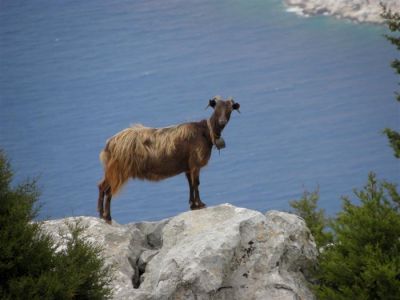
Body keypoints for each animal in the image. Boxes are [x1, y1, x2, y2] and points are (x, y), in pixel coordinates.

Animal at [97, 96, 241, 223]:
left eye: (229, 109)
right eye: (216, 108)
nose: (222, 121)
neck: (205, 132)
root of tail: (110, 143)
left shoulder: (187, 167)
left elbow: (190, 184)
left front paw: (193, 205)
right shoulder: (195, 163)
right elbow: (196, 183)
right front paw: (200, 204)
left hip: (111, 169)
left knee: (101, 185)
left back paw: (101, 214)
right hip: (118, 169)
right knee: (108, 190)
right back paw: (107, 216)